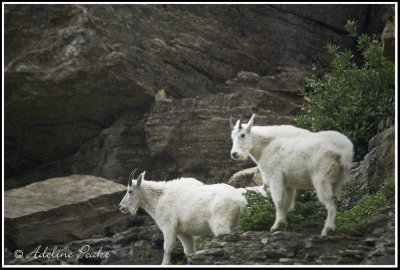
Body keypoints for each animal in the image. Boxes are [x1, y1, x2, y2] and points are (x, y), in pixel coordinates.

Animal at [118, 171, 247, 264]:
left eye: (130, 191)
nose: (121, 207)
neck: (159, 198)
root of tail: (241, 202)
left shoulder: (169, 227)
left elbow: (167, 249)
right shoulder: (183, 233)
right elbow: (189, 252)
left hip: (220, 224)